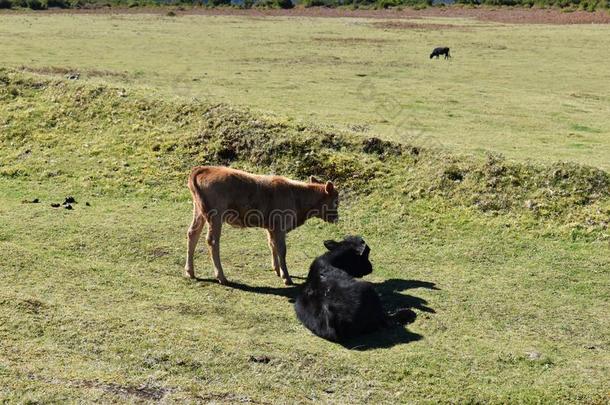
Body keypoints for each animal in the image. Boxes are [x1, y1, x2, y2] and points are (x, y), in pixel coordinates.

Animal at [183, 164, 340, 284]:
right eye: (336, 201)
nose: (337, 218)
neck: (295, 195)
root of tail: (204, 169)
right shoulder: (279, 227)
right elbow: (282, 250)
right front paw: (286, 278)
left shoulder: (270, 228)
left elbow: (272, 245)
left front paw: (277, 270)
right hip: (215, 216)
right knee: (213, 241)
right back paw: (221, 277)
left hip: (199, 211)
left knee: (192, 234)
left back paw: (190, 272)